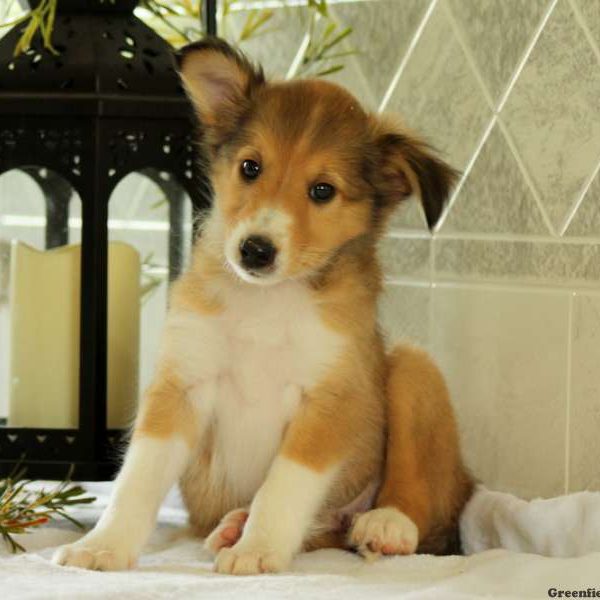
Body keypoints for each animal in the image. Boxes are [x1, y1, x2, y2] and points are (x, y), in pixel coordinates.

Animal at [52, 38, 474, 576]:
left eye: (323, 190)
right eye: (250, 167)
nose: (255, 250)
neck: (265, 302)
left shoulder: (329, 401)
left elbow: (283, 486)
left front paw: (257, 550)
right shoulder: (181, 384)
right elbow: (138, 477)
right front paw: (104, 546)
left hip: (412, 368)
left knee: (423, 499)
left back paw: (385, 525)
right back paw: (233, 524)